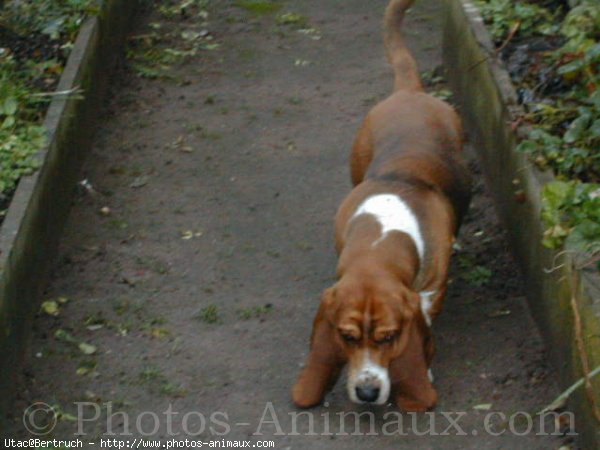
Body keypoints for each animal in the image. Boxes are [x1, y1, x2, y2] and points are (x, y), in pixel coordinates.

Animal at [292, 0, 472, 412]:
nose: (367, 393)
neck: (381, 237)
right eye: (347, 337)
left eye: (389, 337)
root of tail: (410, 91)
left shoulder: (429, 294)